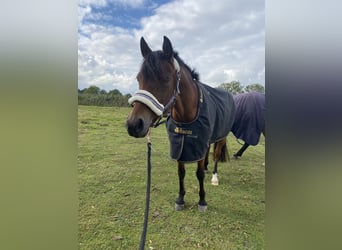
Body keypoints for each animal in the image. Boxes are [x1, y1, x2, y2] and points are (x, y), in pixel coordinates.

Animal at [125, 36, 235, 212]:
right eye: (138, 78)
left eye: (166, 79)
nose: (134, 125)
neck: (186, 116)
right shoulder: (180, 145)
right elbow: (181, 172)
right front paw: (180, 198)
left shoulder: (197, 143)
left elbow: (199, 174)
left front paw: (202, 201)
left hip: (221, 137)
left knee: (217, 155)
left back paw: (214, 176)